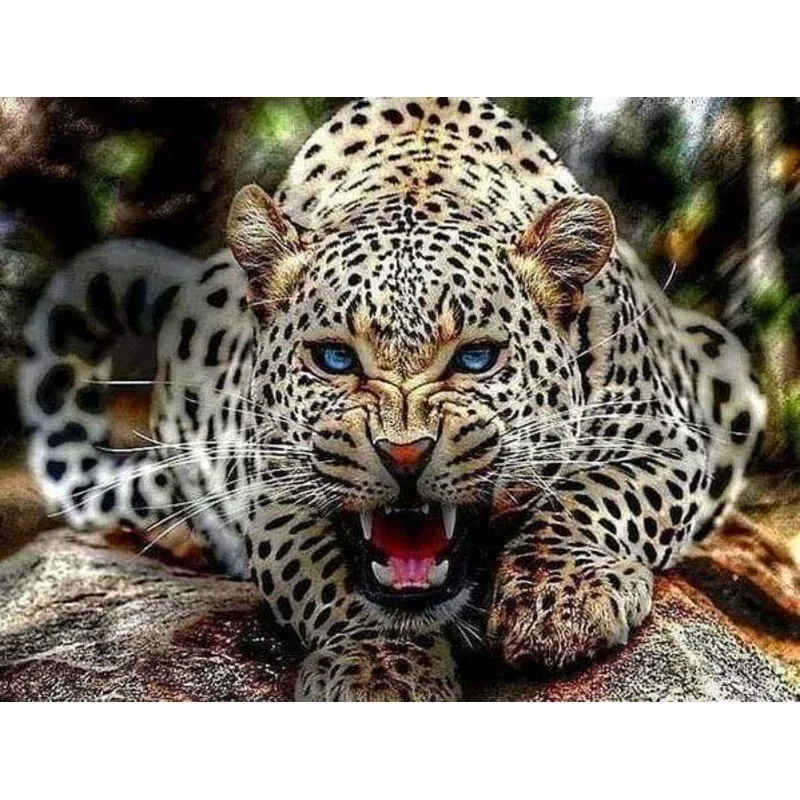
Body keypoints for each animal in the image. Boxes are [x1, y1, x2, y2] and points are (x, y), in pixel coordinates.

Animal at [19, 97, 766, 701]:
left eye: (475, 358)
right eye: (334, 359)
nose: (404, 455)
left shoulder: (667, 438)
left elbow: (594, 498)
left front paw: (562, 602)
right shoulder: (267, 485)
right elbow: (330, 576)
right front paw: (380, 669)